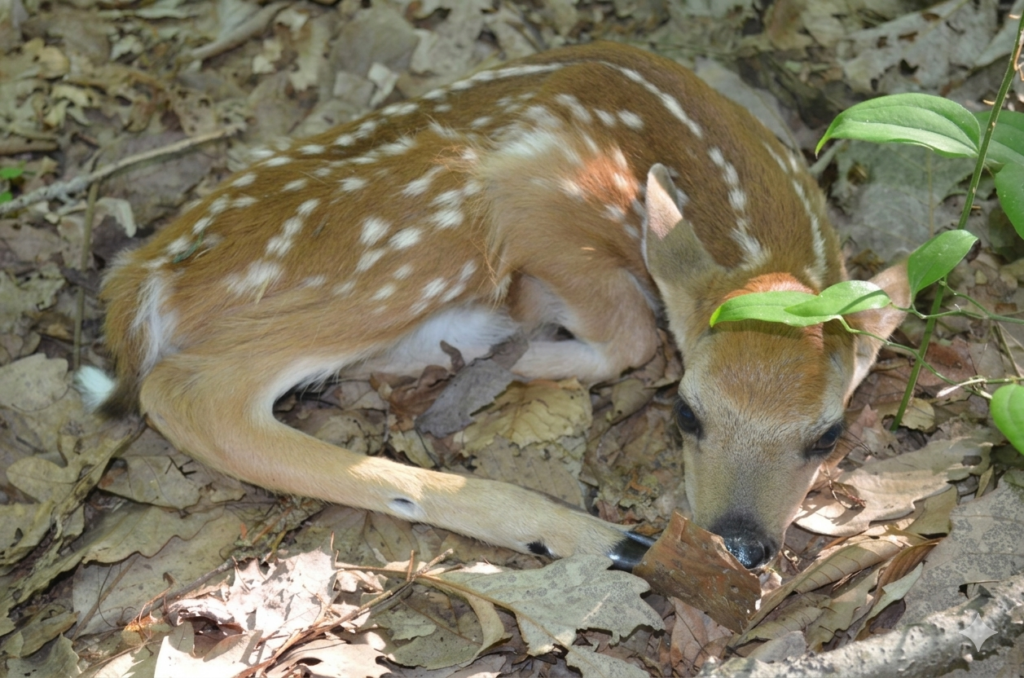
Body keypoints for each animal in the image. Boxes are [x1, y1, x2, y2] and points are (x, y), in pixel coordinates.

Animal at [77, 42, 909, 571]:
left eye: (828, 434)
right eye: (686, 412)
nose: (739, 544)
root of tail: (141, 279)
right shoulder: (536, 193)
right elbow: (632, 334)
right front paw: (525, 350)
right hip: (423, 235)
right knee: (190, 392)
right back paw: (587, 534)